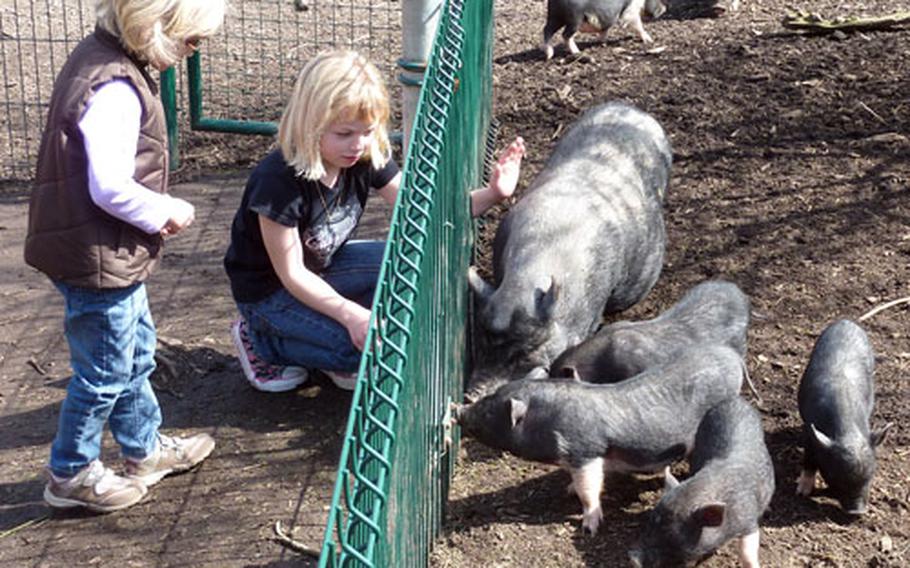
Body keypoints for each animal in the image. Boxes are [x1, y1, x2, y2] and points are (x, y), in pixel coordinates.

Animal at [540, 0, 668, 60]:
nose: (664, 9)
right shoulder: (630, 11)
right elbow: (638, 25)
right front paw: (650, 40)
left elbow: (605, 29)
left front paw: (603, 43)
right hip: (574, 19)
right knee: (566, 35)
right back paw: (577, 52)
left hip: (554, 16)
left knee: (546, 30)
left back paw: (549, 55)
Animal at [636, 398, 776, 564]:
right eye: (651, 522)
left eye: (672, 537)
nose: (633, 558)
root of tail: (735, 401)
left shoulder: (748, 517)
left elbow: (747, 550)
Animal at [800, 320, 896, 516]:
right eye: (835, 477)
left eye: (870, 476)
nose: (856, 512)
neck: (847, 431)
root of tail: (846, 321)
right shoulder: (809, 430)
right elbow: (809, 458)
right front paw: (802, 492)